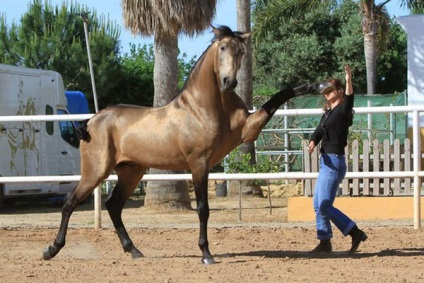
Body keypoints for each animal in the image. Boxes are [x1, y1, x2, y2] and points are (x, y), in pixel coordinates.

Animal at [43, 25, 320, 266]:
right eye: (222, 47)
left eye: (241, 51)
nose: (229, 82)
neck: (203, 108)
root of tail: (91, 121)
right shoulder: (199, 163)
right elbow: (203, 209)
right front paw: (206, 254)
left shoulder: (248, 131)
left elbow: (278, 97)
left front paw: (312, 85)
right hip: (97, 170)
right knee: (70, 202)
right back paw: (51, 249)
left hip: (131, 172)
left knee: (113, 206)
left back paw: (134, 250)